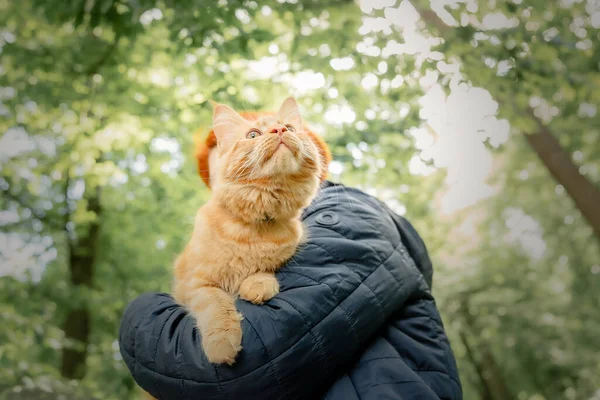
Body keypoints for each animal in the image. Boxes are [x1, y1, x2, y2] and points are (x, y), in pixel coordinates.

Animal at [173, 97, 324, 366]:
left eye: (289, 128)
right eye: (253, 135)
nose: (279, 130)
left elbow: (263, 267)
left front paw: (257, 284)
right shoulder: (195, 284)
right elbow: (217, 305)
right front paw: (222, 343)